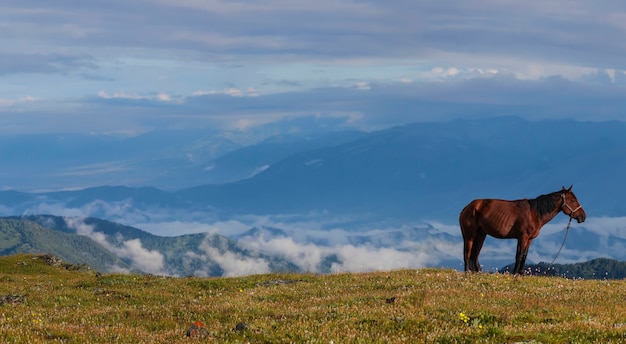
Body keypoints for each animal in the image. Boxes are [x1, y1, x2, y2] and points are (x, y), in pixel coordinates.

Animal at [456, 185, 584, 274]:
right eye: (573, 200)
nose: (583, 216)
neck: (534, 213)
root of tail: (467, 208)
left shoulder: (529, 239)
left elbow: (524, 255)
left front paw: (521, 273)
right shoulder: (523, 237)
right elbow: (520, 255)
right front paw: (515, 273)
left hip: (481, 235)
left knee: (474, 255)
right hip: (470, 235)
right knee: (467, 253)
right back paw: (467, 273)